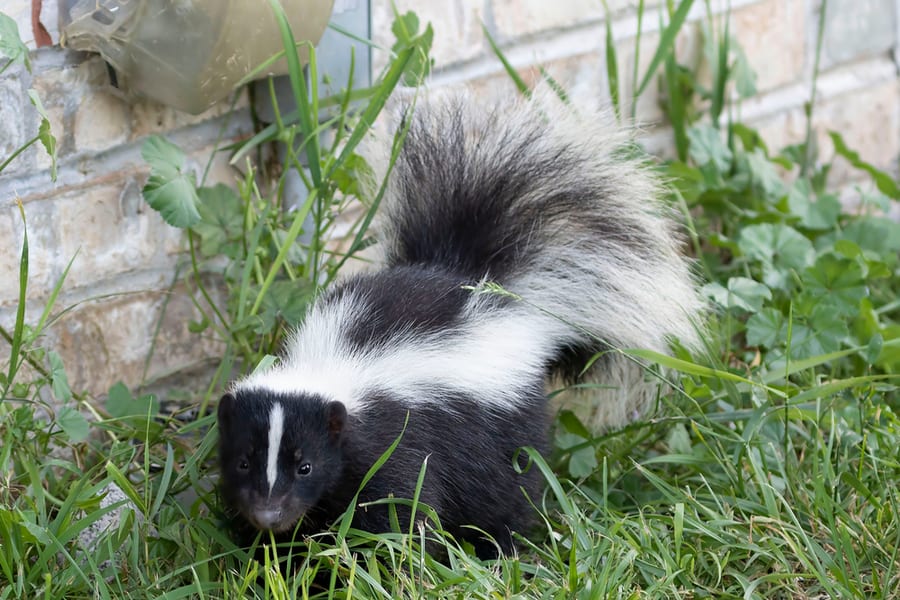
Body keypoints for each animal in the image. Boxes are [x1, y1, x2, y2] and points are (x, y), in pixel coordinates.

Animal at [218, 89, 704, 556]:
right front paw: (267, 555)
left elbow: (397, 508)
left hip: (506, 426)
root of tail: (473, 279)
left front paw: (385, 559)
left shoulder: (396, 440)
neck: (330, 366)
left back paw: (501, 547)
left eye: (306, 466)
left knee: (507, 490)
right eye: (242, 461)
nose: (269, 514)